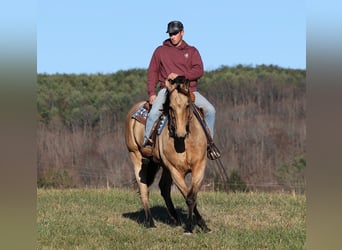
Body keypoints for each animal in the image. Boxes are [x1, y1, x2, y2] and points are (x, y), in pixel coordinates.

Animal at [125, 75, 211, 233]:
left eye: (187, 105)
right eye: (170, 107)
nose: (180, 133)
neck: (184, 143)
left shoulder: (199, 167)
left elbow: (192, 196)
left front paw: (203, 225)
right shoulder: (175, 170)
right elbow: (188, 197)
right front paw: (189, 227)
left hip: (162, 165)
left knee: (164, 188)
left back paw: (175, 219)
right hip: (136, 155)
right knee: (143, 187)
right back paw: (150, 222)